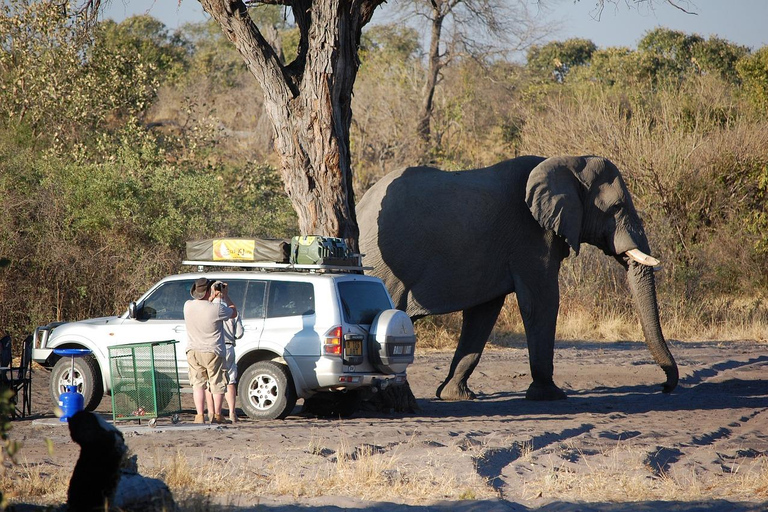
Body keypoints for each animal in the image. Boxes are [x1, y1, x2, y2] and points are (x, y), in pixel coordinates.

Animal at [356, 154, 680, 402]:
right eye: (616, 208)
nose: (664, 387)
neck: (568, 162)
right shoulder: (531, 238)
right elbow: (542, 301)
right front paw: (551, 396)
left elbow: (484, 313)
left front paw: (455, 396)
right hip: (383, 265)